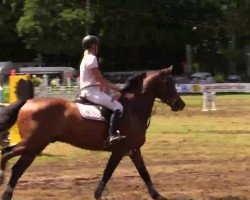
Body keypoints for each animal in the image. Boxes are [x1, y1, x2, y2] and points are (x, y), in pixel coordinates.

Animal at [0, 67, 186, 200]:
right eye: (170, 84)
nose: (180, 104)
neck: (133, 108)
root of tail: (27, 103)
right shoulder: (120, 150)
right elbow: (108, 172)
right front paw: (98, 195)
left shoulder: (133, 150)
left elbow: (144, 172)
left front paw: (157, 195)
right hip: (34, 144)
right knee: (11, 160)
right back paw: (5, 186)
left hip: (34, 146)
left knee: (10, 158)